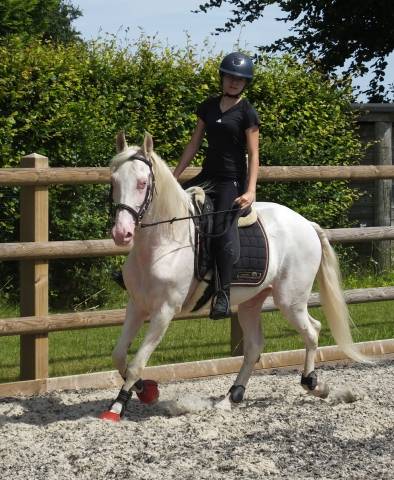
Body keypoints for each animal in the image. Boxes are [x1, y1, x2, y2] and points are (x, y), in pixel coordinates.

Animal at [100, 131, 364, 420]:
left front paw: (117, 407)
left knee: (312, 331)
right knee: (254, 347)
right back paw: (231, 398)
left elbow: (136, 362)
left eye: (142, 183)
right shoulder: (137, 305)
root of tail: (306, 224)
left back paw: (314, 385)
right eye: (113, 181)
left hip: (290, 300)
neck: (165, 242)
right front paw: (146, 390)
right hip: (251, 303)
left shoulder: (164, 311)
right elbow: (118, 356)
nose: (121, 233)